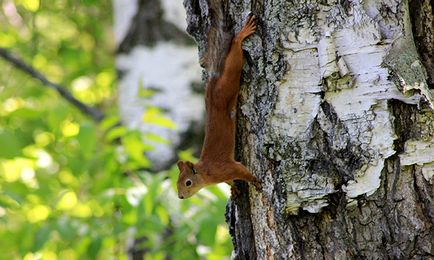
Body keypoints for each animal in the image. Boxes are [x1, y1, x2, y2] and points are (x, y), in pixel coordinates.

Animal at [176, 13, 262, 199]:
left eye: (188, 182)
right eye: (177, 182)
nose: (180, 196)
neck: (206, 173)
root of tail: (213, 82)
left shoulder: (227, 168)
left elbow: (243, 172)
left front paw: (255, 181)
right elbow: (230, 181)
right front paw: (234, 189)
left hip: (229, 83)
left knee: (234, 52)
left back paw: (242, 34)